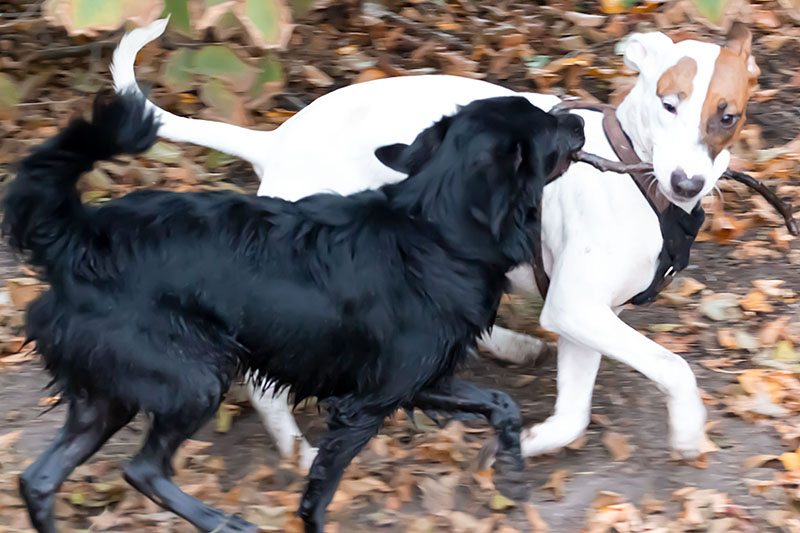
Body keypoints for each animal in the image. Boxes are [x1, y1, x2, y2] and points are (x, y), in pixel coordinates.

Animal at [4, 89, 580, 528]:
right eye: (548, 125)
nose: (578, 116)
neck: (437, 228)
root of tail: (78, 237)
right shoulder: (364, 406)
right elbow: (318, 494)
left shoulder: (417, 381)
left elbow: (502, 403)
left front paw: (510, 469)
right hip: (195, 378)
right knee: (143, 469)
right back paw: (222, 521)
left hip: (108, 396)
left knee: (39, 479)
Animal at [109, 18, 760, 464]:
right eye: (668, 104)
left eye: (725, 116)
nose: (686, 182)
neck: (635, 174)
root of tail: (277, 143)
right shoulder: (576, 307)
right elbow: (673, 365)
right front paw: (688, 429)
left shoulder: (583, 317)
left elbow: (574, 413)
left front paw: (528, 442)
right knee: (265, 380)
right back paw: (295, 449)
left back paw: (508, 346)